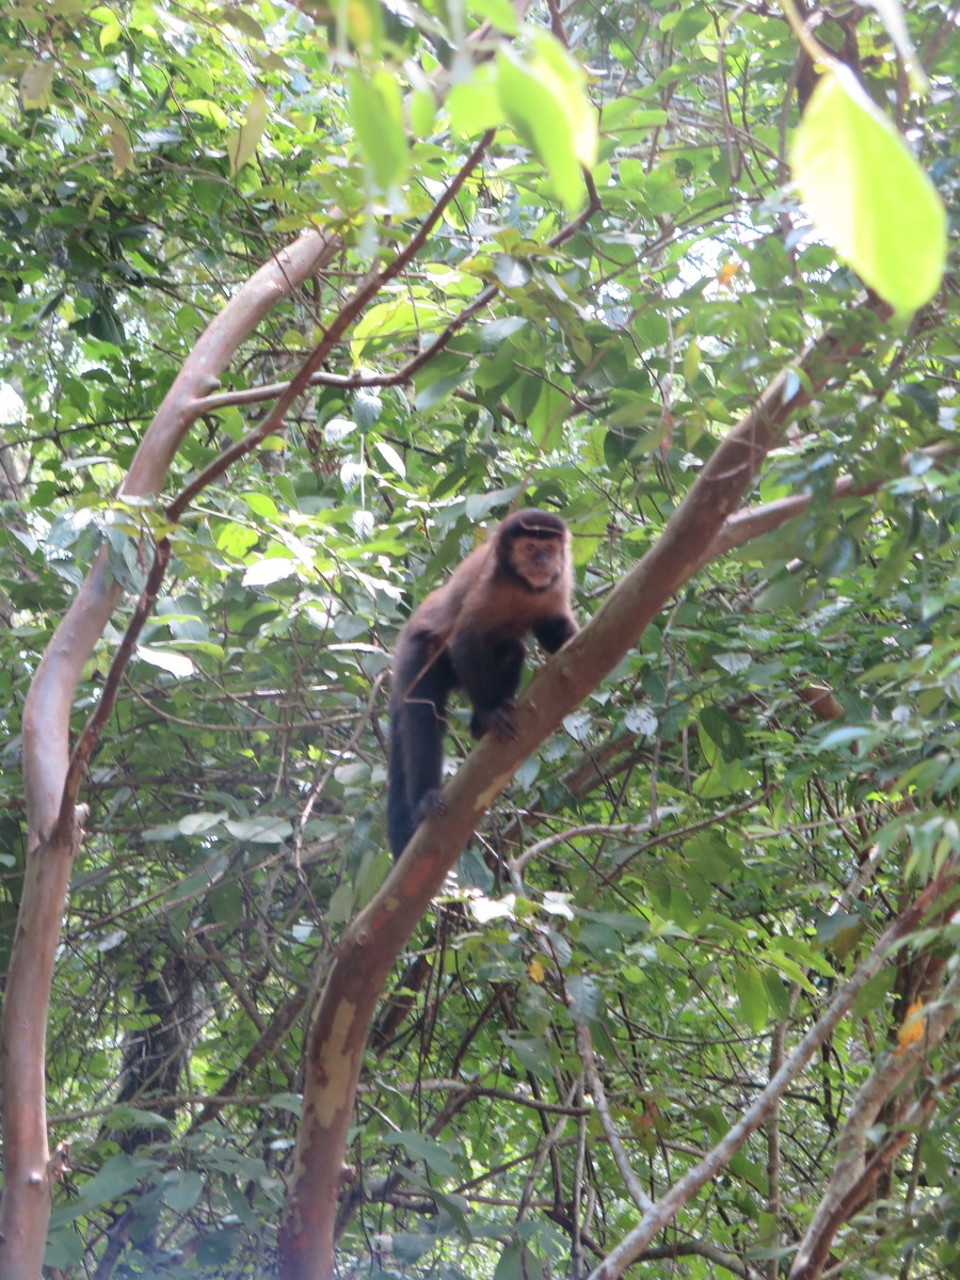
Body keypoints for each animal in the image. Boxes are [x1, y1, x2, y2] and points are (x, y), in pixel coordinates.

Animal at [389, 509, 578, 860]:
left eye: (550, 548)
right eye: (530, 547)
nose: (543, 561)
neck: (520, 585)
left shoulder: (557, 585)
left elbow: (551, 627)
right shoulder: (486, 583)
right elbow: (465, 642)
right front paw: (491, 713)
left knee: (511, 649)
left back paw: (478, 725)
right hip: (415, 656)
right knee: (423, 718)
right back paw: (426, 798)